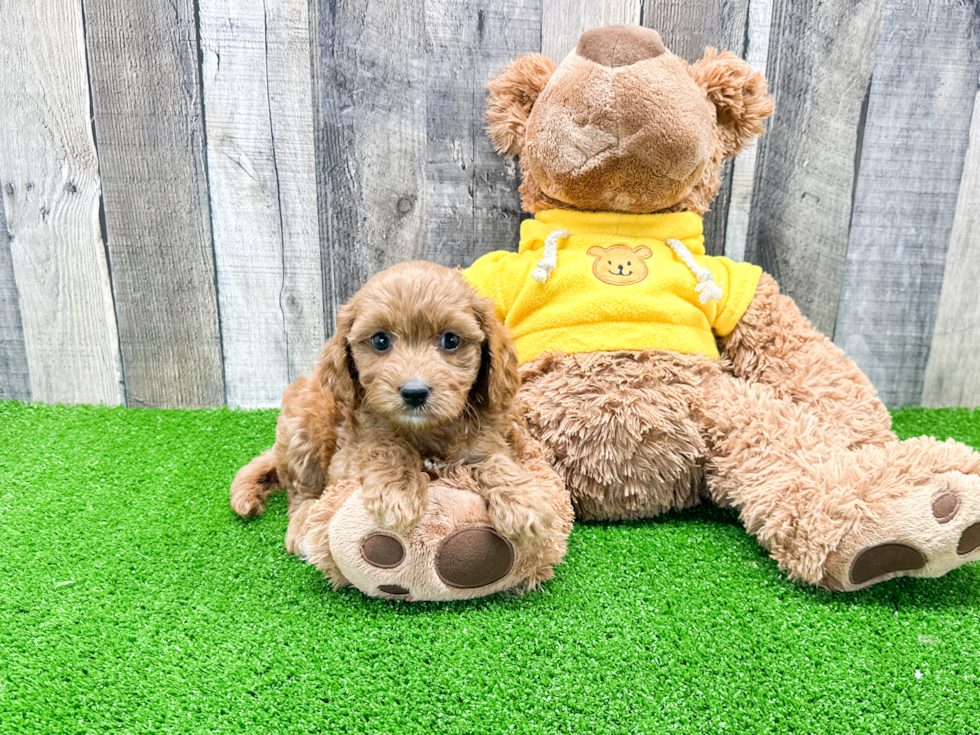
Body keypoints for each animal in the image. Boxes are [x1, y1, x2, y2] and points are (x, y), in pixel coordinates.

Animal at [226, 258, 556, 552]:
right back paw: (303, 527)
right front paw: (398, 491)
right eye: (380, 341)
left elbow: (495, 460)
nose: (414, 392)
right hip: (303, 427)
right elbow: (385, 445)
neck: (425, 431)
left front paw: (522, 499)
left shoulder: (486, 437)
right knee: (300, 492)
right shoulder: (346, 458)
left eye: (451, 340)